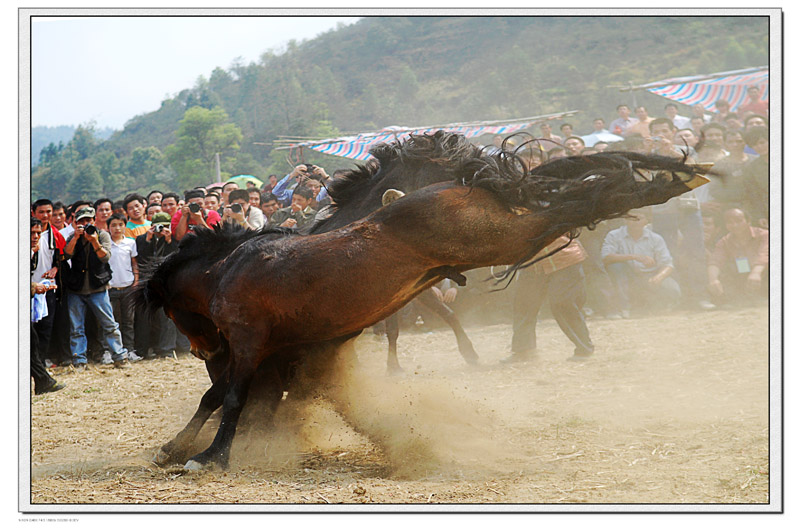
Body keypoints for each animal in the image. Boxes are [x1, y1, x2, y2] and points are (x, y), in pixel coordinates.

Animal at [136, 136, 708, 470]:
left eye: (171, 310)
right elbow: (229, 397)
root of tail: (464, 189)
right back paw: (665, 177)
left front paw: (210, 456)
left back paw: (660, 180)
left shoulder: (255, 345)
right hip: (505, 237)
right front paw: (181, 447)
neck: (231, 264)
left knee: (568, 203)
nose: (201, 348)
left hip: (503, 238)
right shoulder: (281, 355)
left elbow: (230, 397)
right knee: (566, 203)